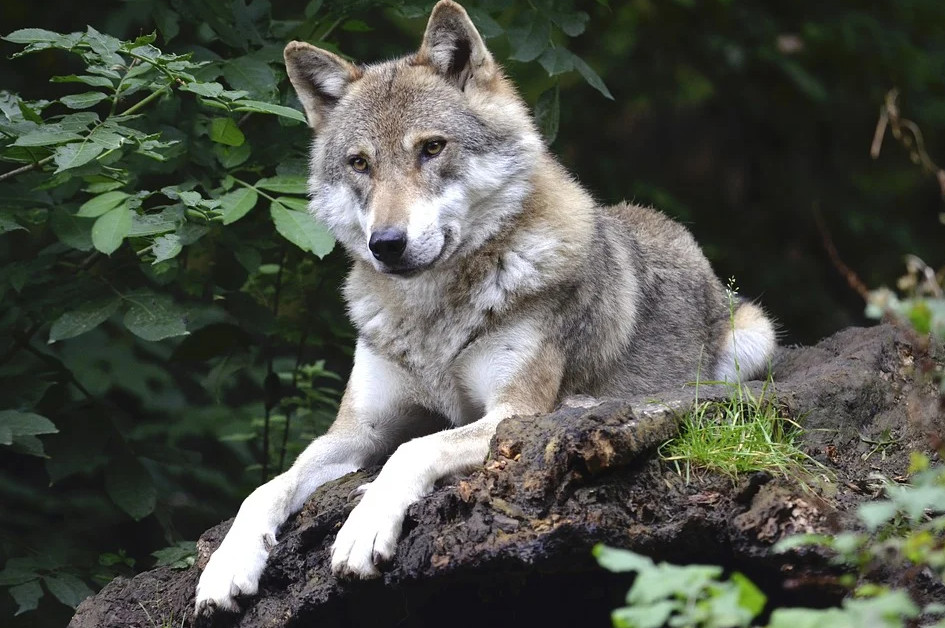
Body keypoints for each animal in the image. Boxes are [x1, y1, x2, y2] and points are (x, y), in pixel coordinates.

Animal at [194, 0, 776, 616]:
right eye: (359, 163)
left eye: (431, 148)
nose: (386, 244)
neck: (431, 318)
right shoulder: (357, 429)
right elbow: (267, 487)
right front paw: (226, 565)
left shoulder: (508, 413)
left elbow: (413, 450)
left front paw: (363, 526)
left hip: (752, 338)